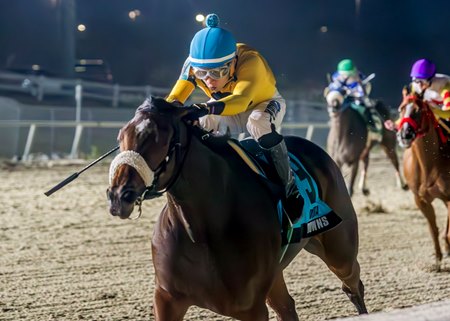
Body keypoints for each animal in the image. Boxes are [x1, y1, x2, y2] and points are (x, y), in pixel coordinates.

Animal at [107, 97, 368, 320]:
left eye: (157, 139)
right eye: (121, 137)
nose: (119, 195)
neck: (201, 231)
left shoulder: (251, 307)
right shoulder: (167, 299)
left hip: (340, 251)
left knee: (353, 285)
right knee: (286, 307)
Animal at [398, 89, 450, 268]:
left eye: (418, 111)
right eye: (401, 109)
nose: (405, 134)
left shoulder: (449, 196)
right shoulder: (420, 200)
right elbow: (432, 229)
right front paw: (437, 260)